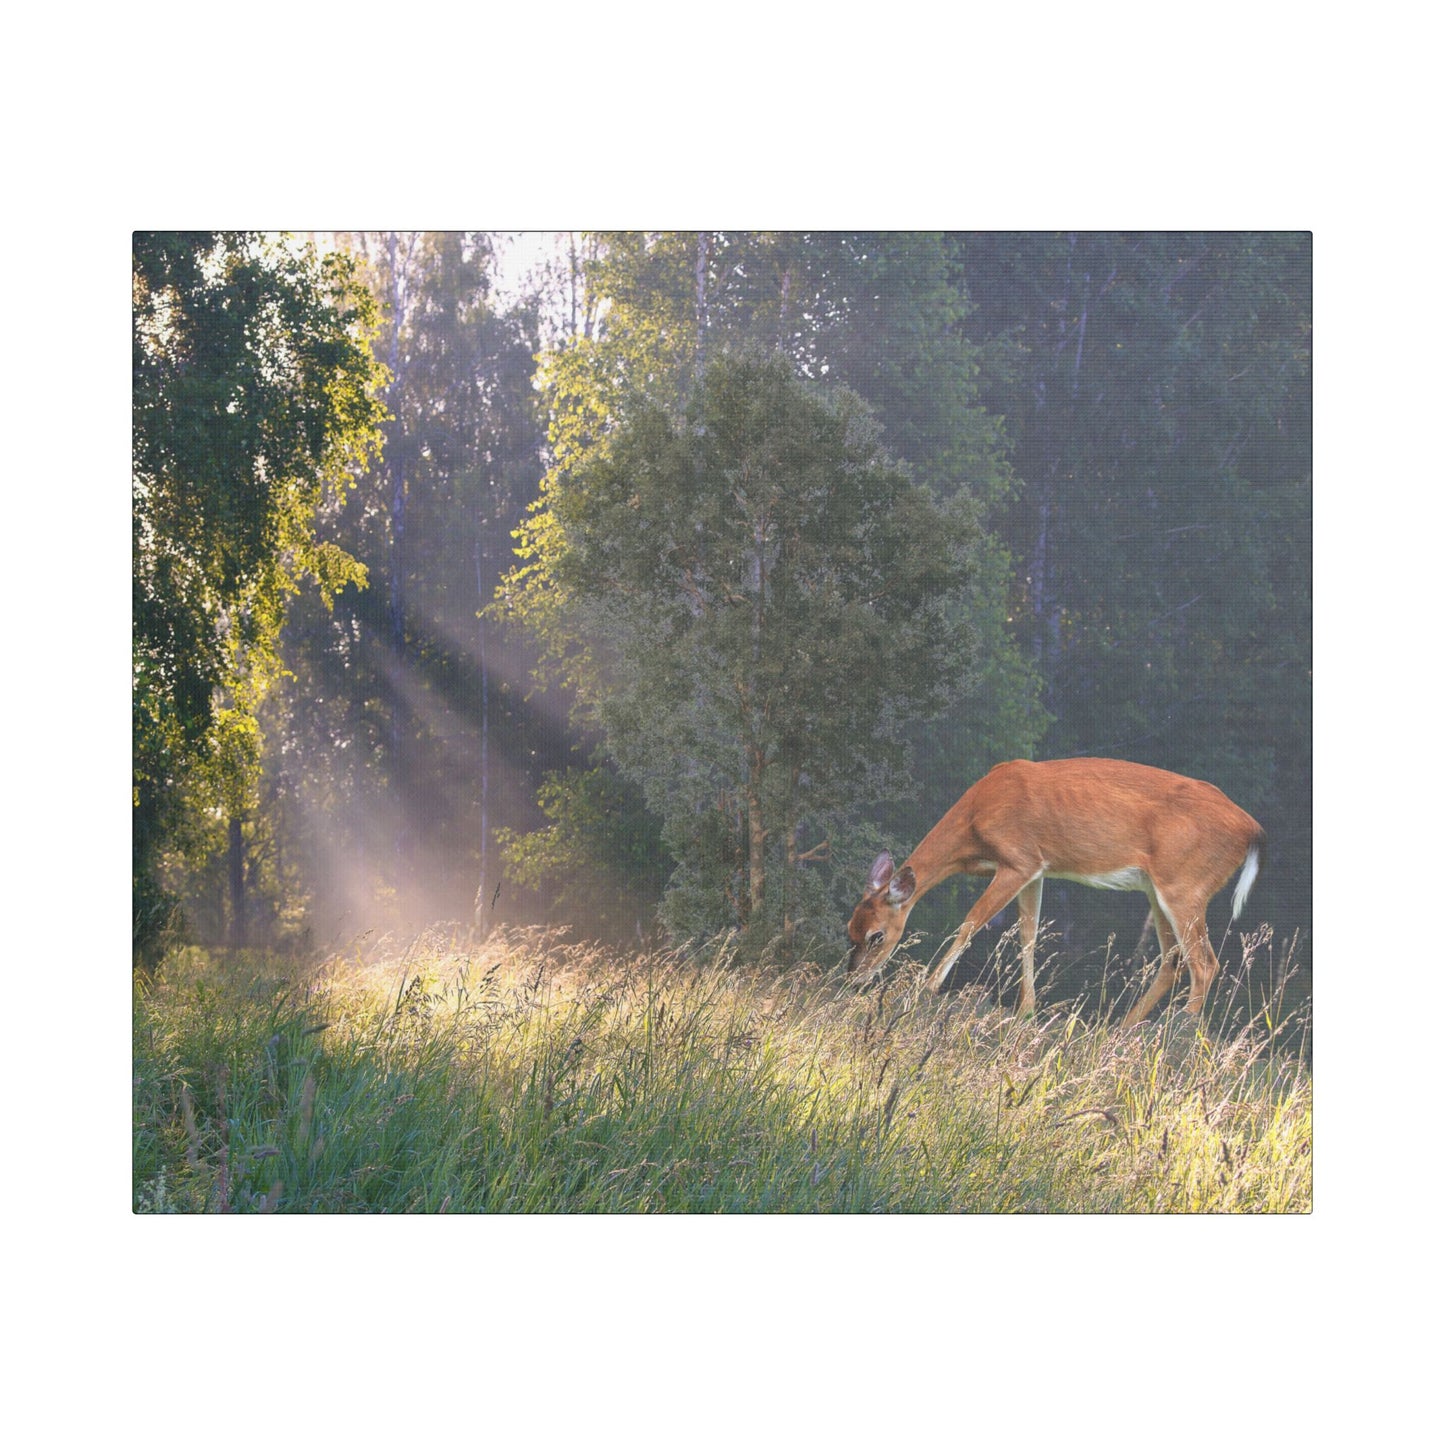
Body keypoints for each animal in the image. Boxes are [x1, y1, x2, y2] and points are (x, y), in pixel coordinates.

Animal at [845, 758, 1265, 1026]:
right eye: (850, 930)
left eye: (877, 935)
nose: (854, 980)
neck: (974, 822)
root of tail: (1253, 830)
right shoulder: (1036, 870)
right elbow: (1029, 936)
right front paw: (1026, 1010)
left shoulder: (1019, 859)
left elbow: (970, 924)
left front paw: (926, 988)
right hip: (1159, 889)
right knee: (1173, 960)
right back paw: (1123, 1031)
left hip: (1185, 886)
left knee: (1204, 962)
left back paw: (1178, 1033)